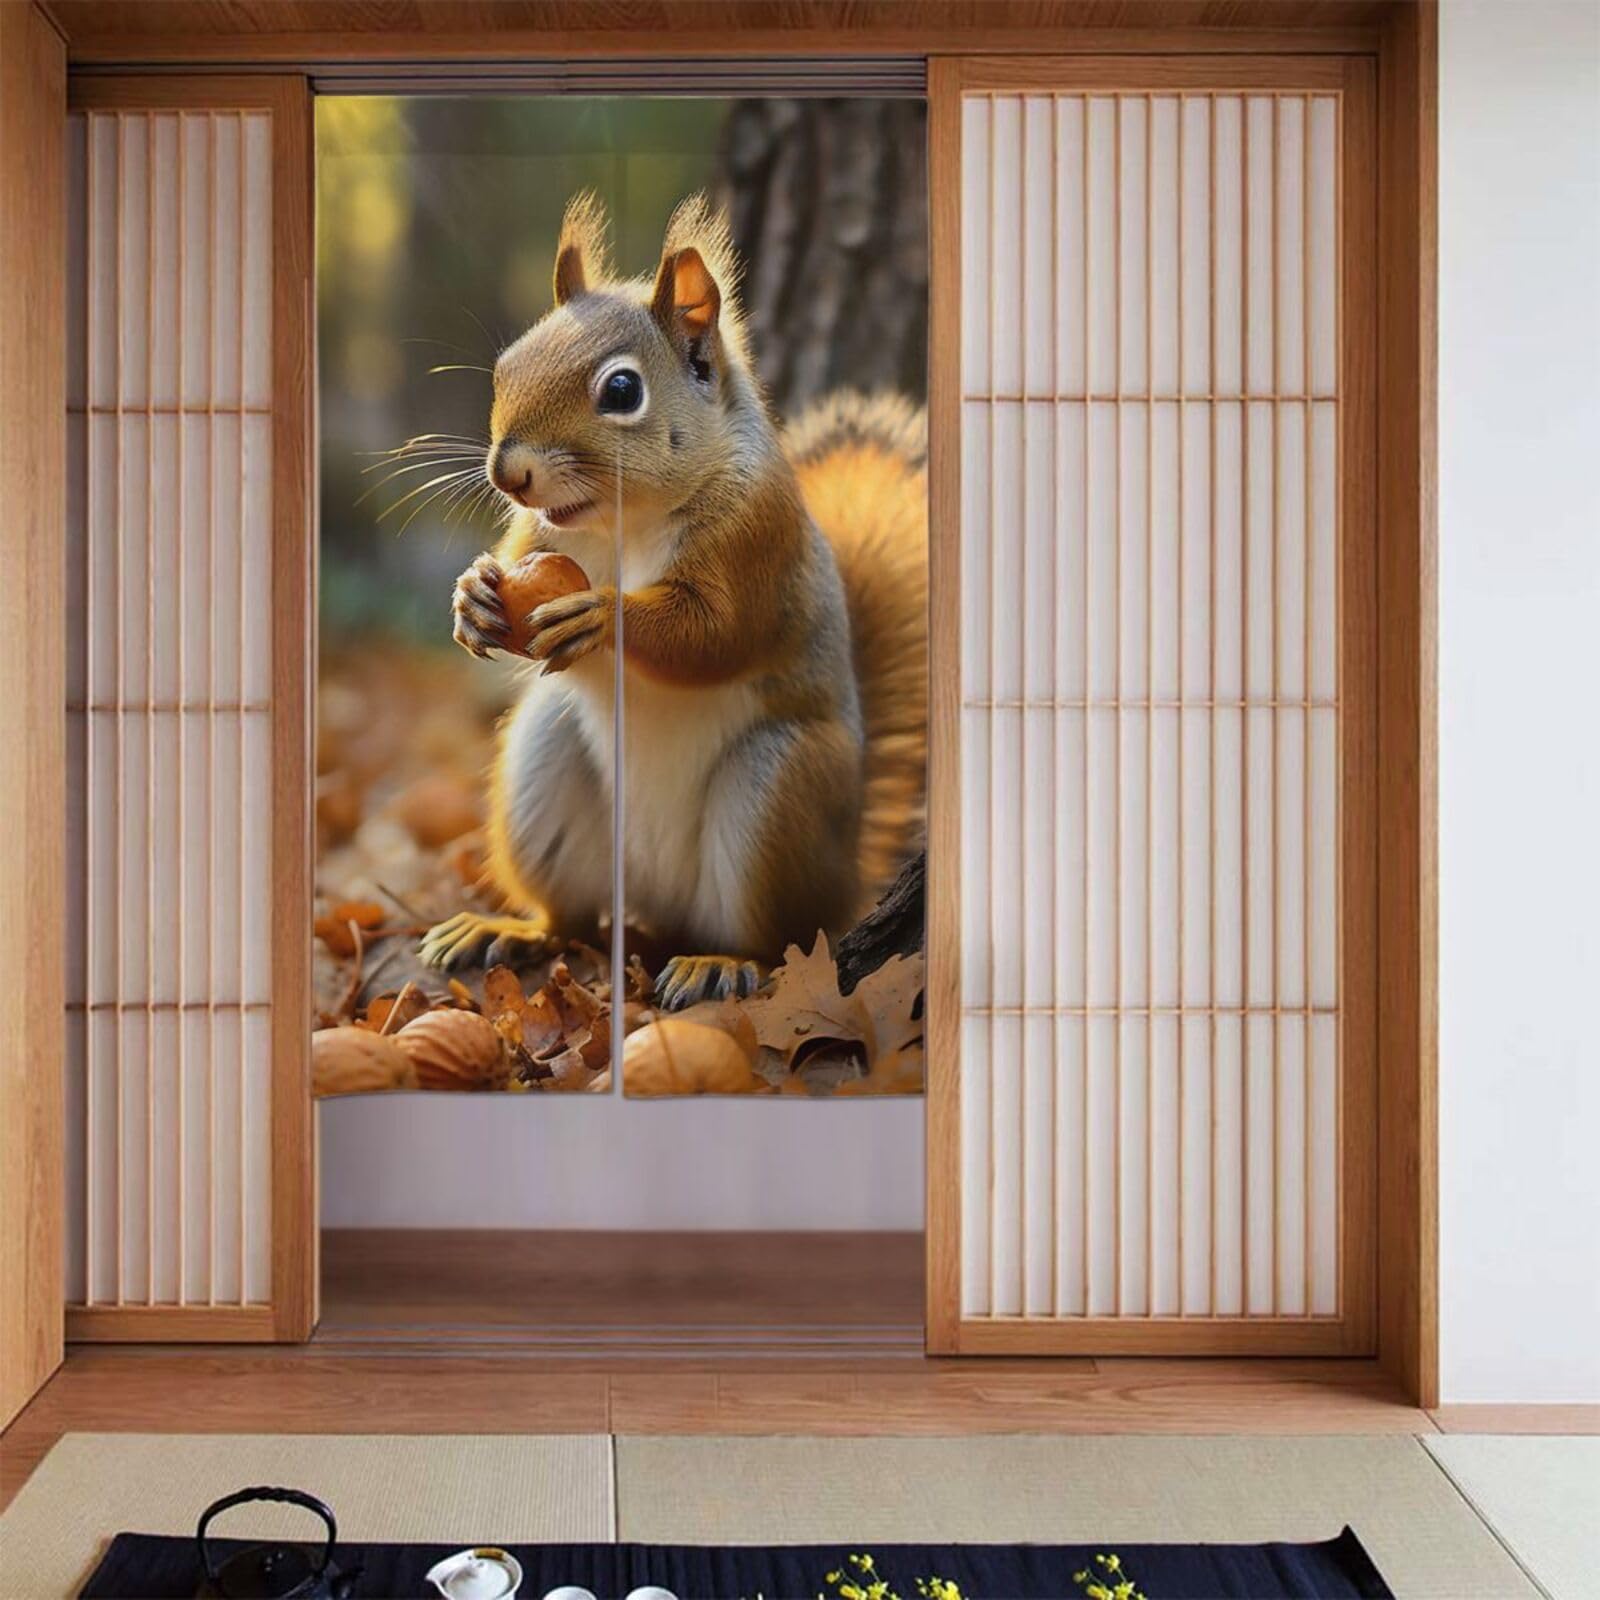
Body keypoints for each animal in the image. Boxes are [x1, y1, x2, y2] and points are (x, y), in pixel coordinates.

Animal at [419, 193, 927, 1011]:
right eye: (506, 367)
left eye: (622, 392)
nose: (507, 472)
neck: (621, 521)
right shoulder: (533, 532)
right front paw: (472, 596)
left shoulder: (755, 539)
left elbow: (714, 634)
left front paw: (603, 615)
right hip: (544, 763)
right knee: (571, 919)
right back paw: (510, 930)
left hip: (776, 790)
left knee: (774, 941)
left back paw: (718, 964)